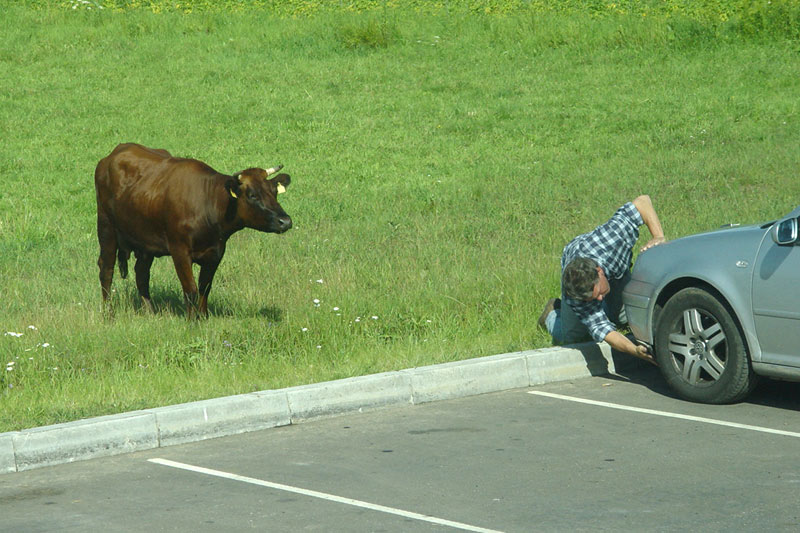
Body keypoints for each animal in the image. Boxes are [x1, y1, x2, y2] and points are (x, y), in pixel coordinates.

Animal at [95, 142, 292, 316]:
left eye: (274, 191)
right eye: (252, 195)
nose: (285, 221)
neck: (208, 203)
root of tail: (115, 153)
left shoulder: (215, 253)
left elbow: (205, 289)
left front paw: (203, 318)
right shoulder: (179, 250)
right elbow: (190, 289)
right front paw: (192, 323)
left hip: (144, 238)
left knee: (142, 273)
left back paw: (150, 312)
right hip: (106, 226)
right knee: (106, 269)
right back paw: (108, 314)